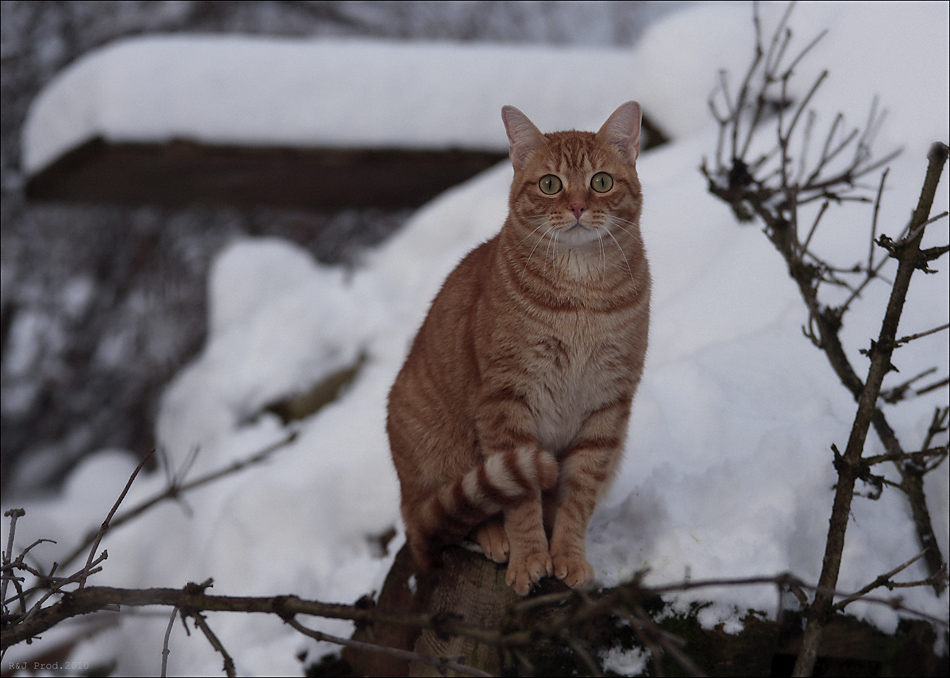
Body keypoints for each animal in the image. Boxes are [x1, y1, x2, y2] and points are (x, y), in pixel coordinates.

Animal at [390, 101, 652, 596]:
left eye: (600, 182)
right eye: (550, 184)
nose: (577, 206)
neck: (580, 297)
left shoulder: (608, 405)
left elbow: (576, 498)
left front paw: (567, 555)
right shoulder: (507, 402)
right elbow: (522, 499)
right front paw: (531, 556)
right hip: (440, 450)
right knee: (443, 518)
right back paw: (494, 536)